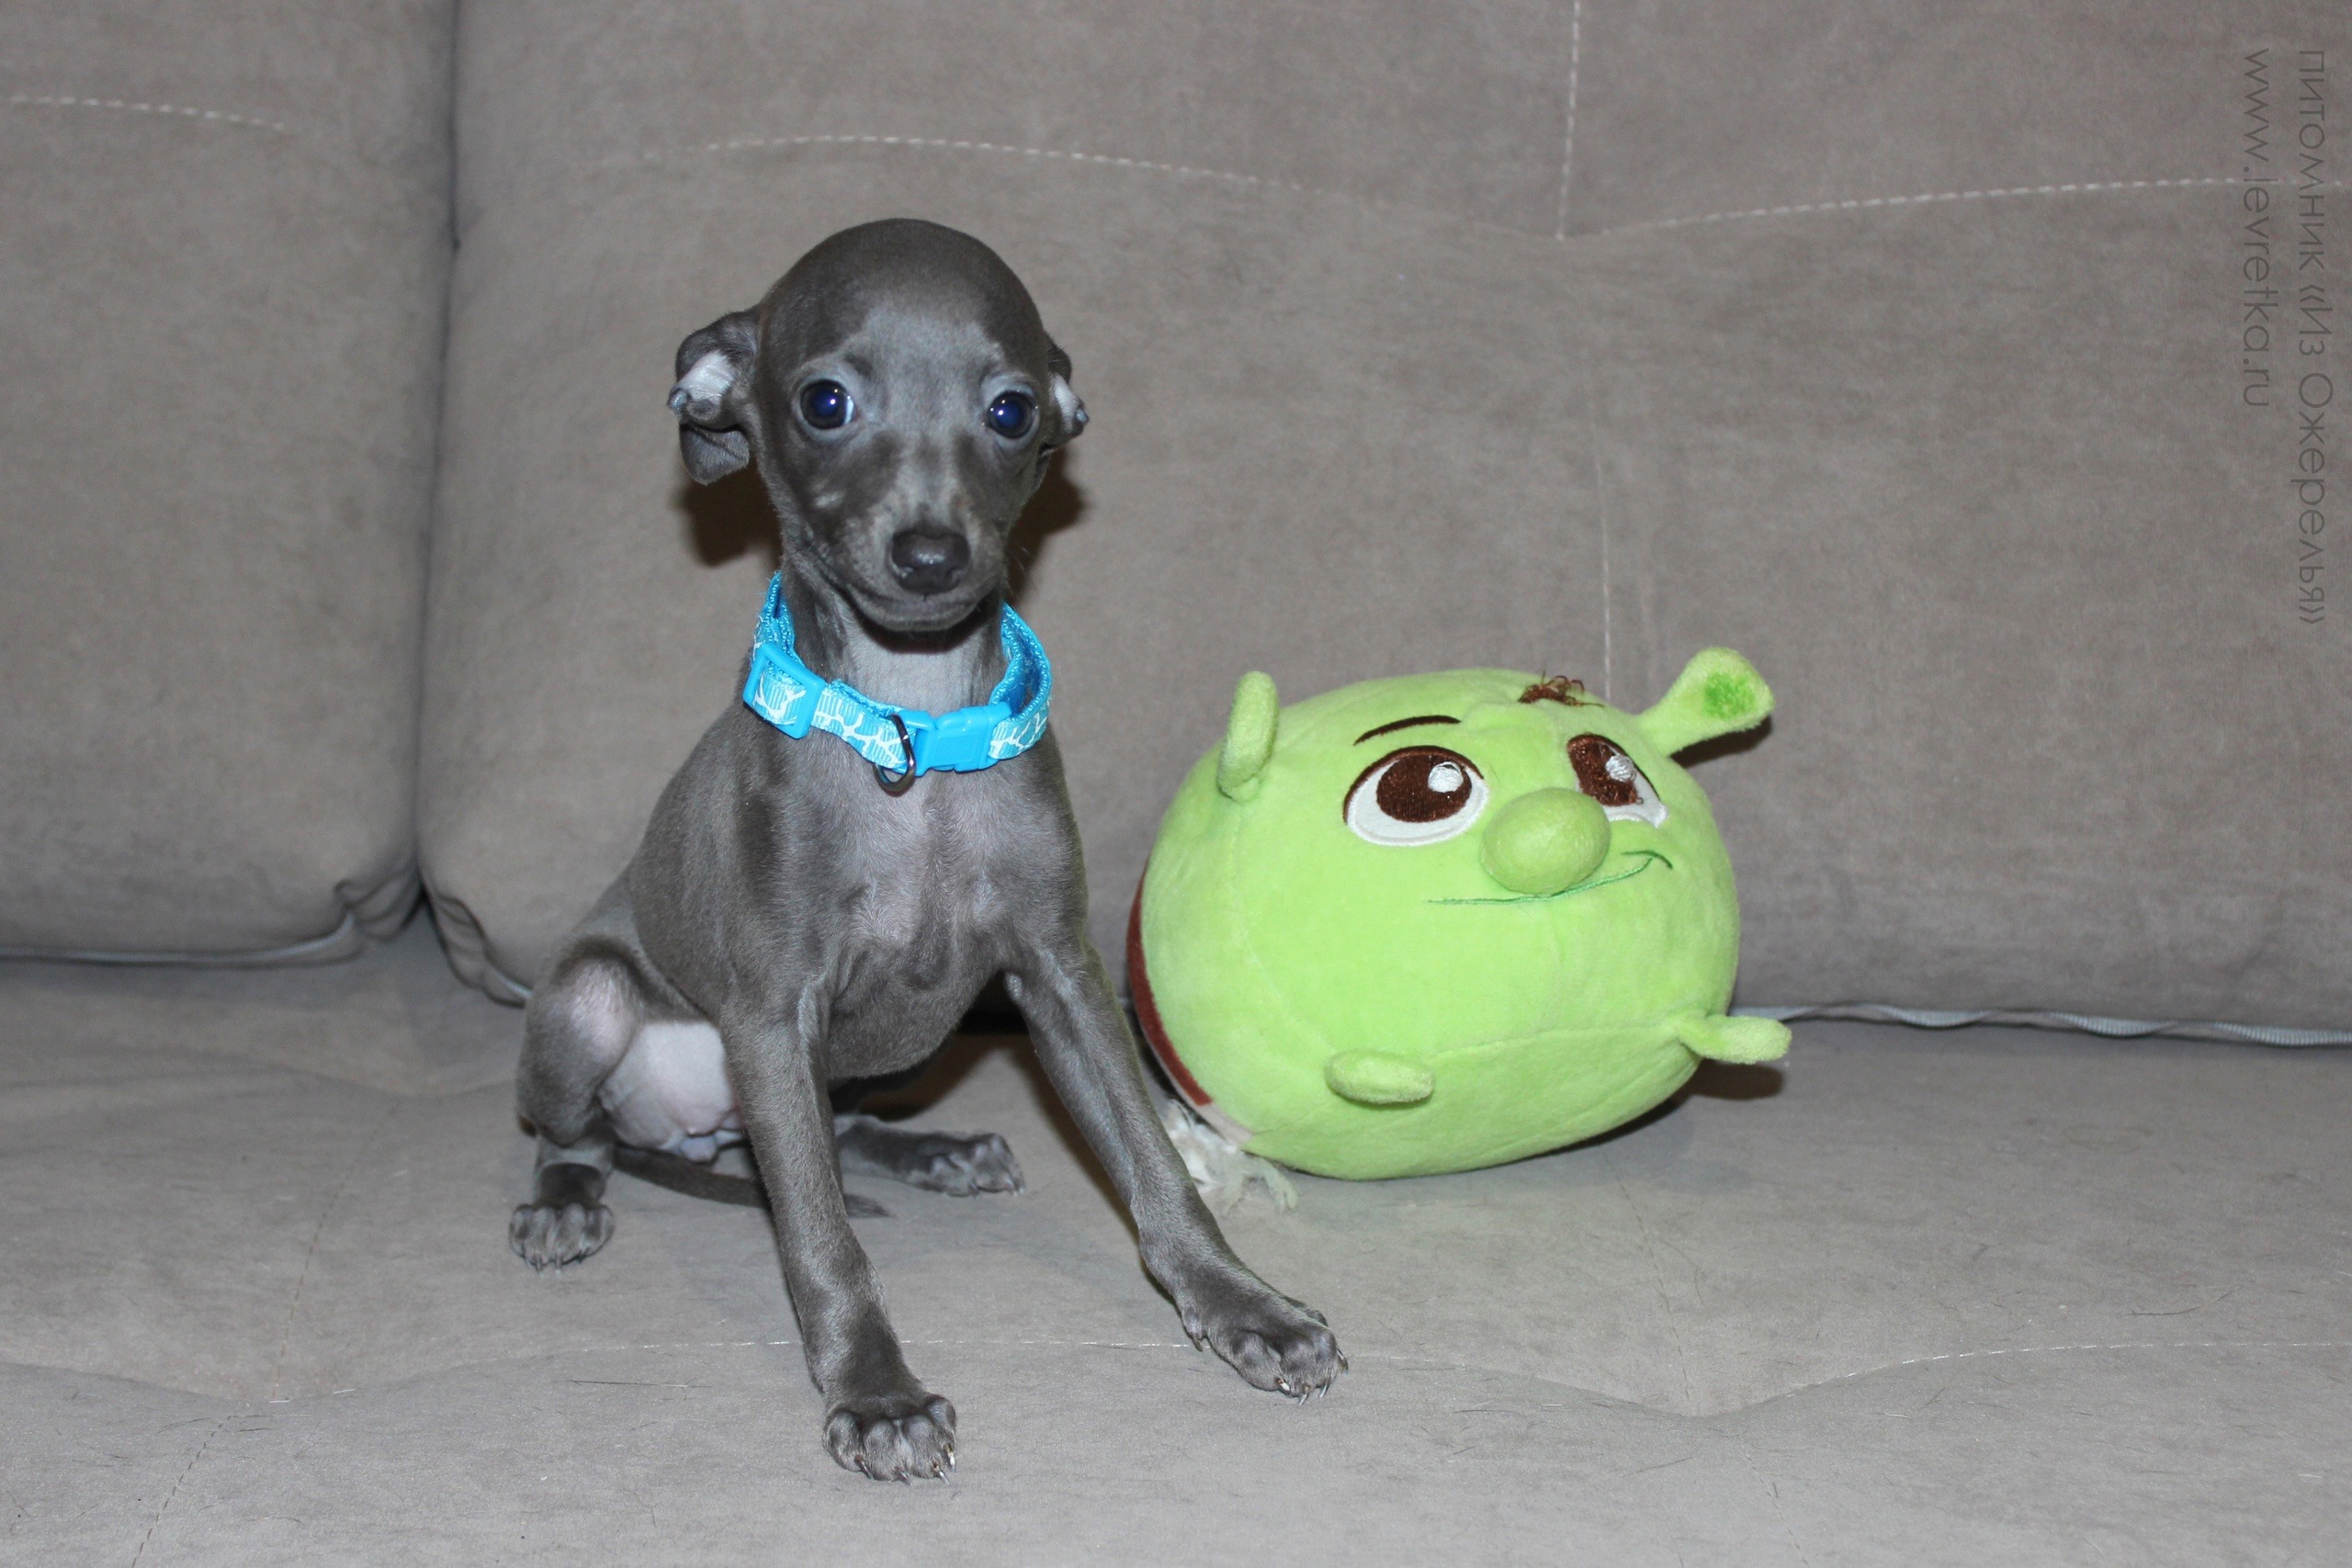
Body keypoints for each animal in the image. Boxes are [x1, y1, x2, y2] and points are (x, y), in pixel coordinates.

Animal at [508, 219, 1342, 1482]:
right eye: (824, 401)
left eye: (1009, 410)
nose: (932, 554)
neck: (913, 729)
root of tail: (697, 1132)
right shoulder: (773, 1013)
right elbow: (818, 1237)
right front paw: (876, 1392)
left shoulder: (1057, 975)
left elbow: (1153, 1165)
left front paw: (1241, 1304)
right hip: (591, 1005)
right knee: (597, 1136)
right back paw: (565, 1197)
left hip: (895, 1042)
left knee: (836, 1129)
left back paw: (936, 1152)